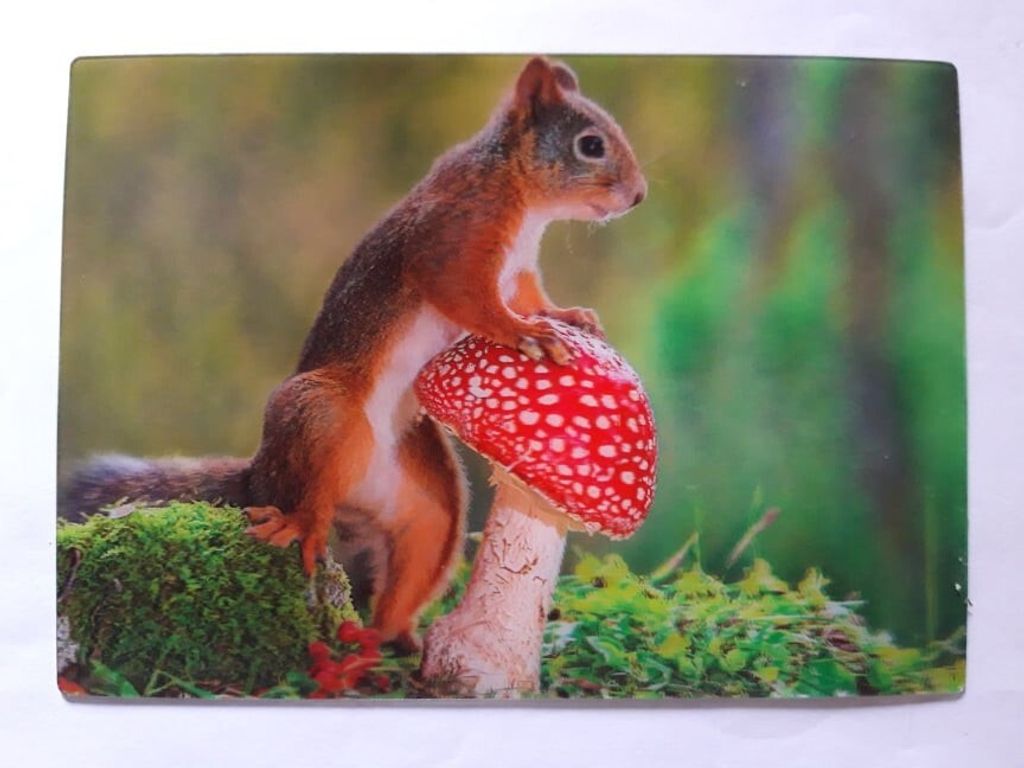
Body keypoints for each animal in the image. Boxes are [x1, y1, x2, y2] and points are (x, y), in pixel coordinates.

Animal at [61, 57, 647, 651]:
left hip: (432, 497)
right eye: (591, 145)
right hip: (322, 413)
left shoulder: (518, 269)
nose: (639, 196)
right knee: (310, 493)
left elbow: (531, 296)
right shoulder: (451, 238)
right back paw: (303, 525)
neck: (518, 195)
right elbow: (472, 300)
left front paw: (568, 315)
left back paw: (394, 639)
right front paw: (522, 330)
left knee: (415, 556)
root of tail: (264, 474)